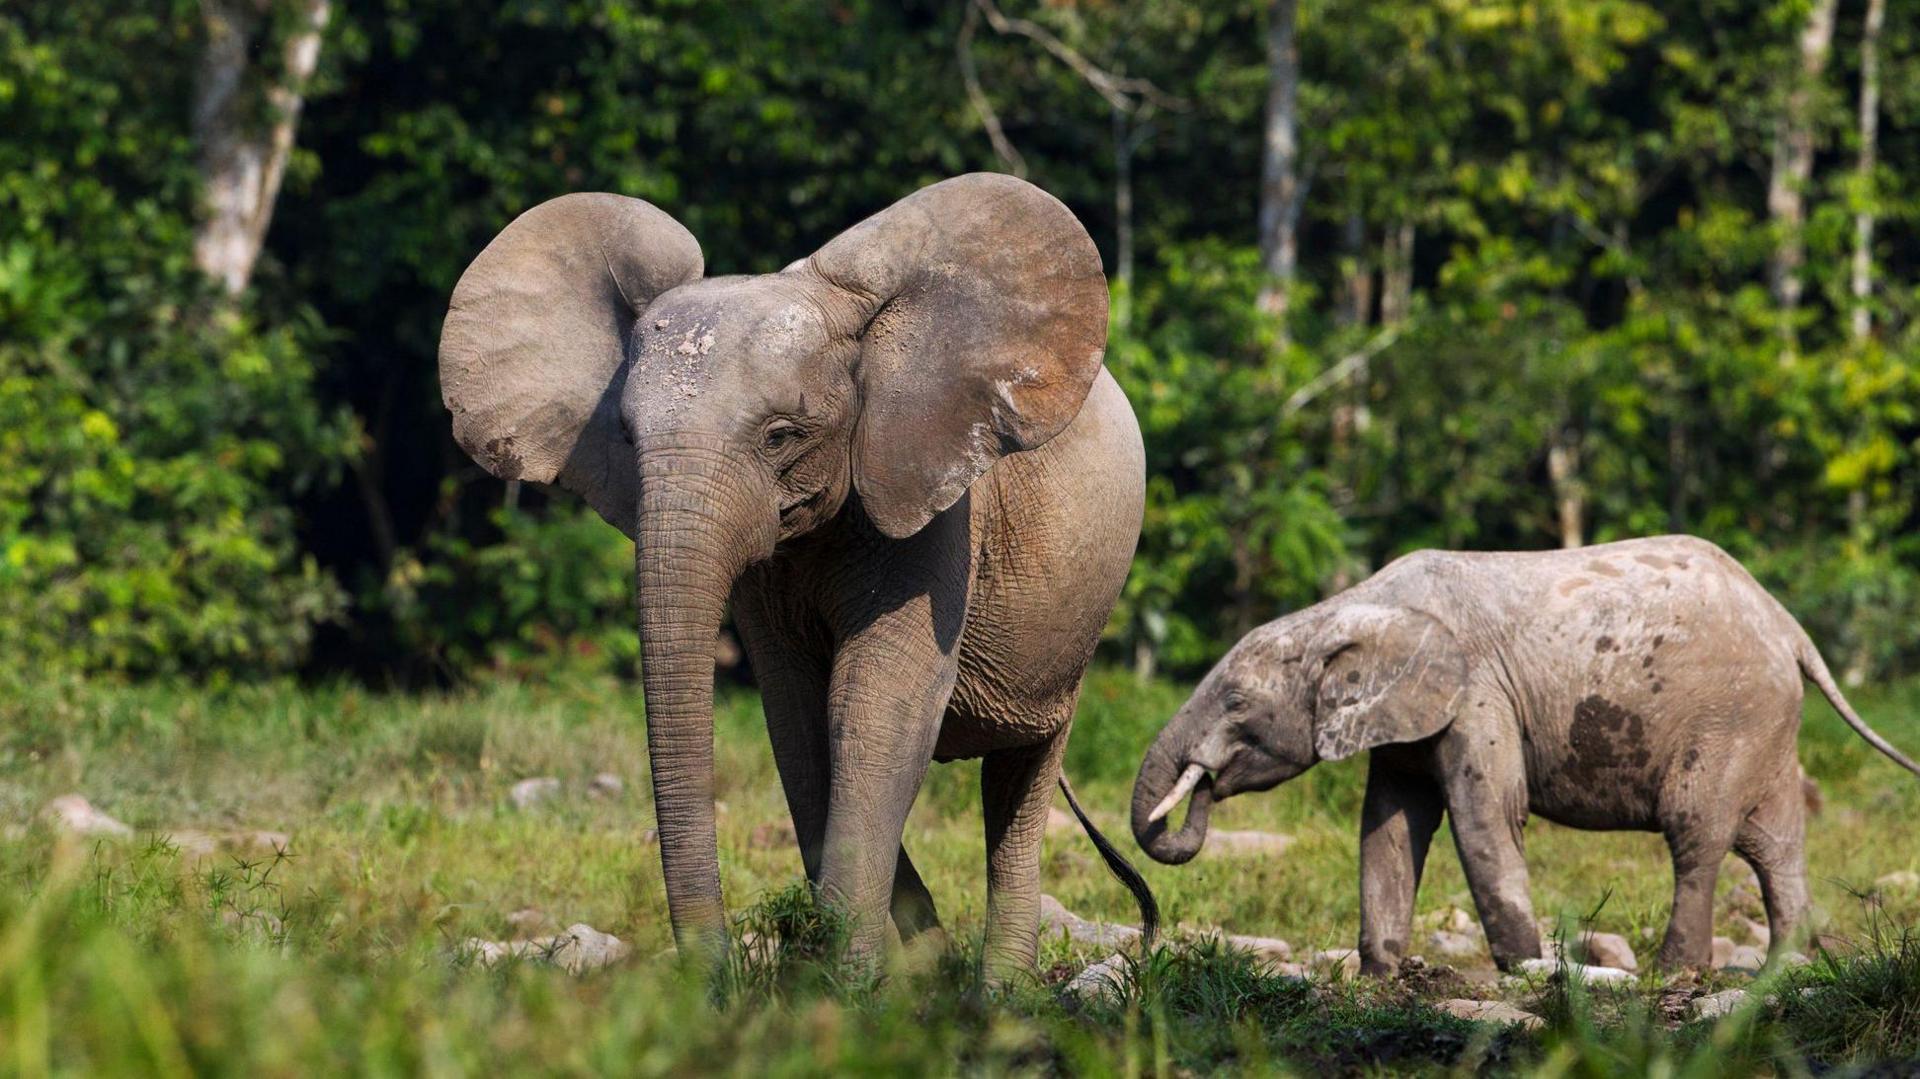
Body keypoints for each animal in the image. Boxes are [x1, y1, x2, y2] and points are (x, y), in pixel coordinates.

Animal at [439, 173, 1155, 975]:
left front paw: (854, 983)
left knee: (1019, 778)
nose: (714, 981)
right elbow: (799, 719)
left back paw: (999, 988)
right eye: (625, 435)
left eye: (781, 435)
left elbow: (873, 708)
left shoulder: (931, 501)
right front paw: (886, 977)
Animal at [1130, 534, 1920, 975]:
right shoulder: (1412, 714)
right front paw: (1382, 975)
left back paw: (1674, 974)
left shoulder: (1480, 693)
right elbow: (1389, 824)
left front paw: (1526, 969)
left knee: (1696, 830)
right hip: (1764, 721)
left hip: (1729, 714)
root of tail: (1789, 625)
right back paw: (1786, 969)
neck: (1348, 609)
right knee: (1775, 843)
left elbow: (1485, 817)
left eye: (1236, 702)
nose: (1201, 788)